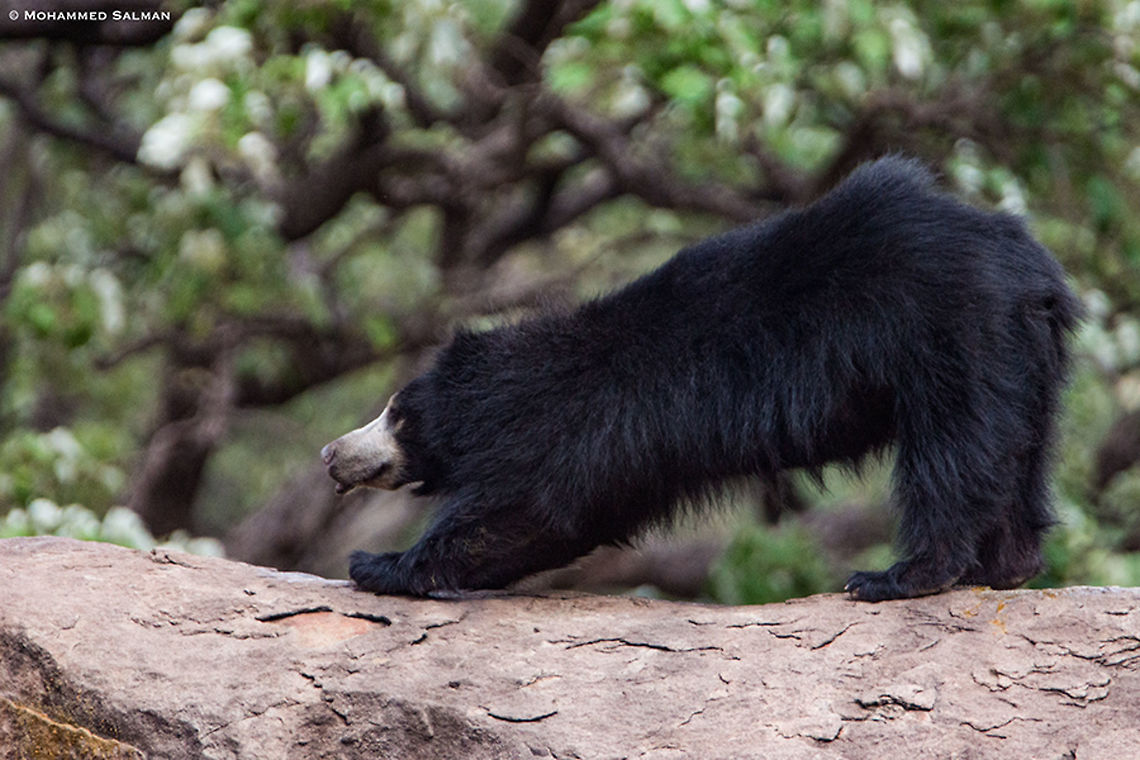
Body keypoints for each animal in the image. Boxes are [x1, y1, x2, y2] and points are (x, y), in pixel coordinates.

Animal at [321, 156, 1082, 602]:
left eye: (396, 414)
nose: (331, 454)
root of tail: (1032, 271)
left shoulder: (585, 422)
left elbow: (529, 508)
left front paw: (376, 564)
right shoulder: (623, 451)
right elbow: (564, 520)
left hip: (952, 337)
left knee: (955, 452)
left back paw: (901, 576)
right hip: (1025, 359)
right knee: (1016, 450)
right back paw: (1007, 567)